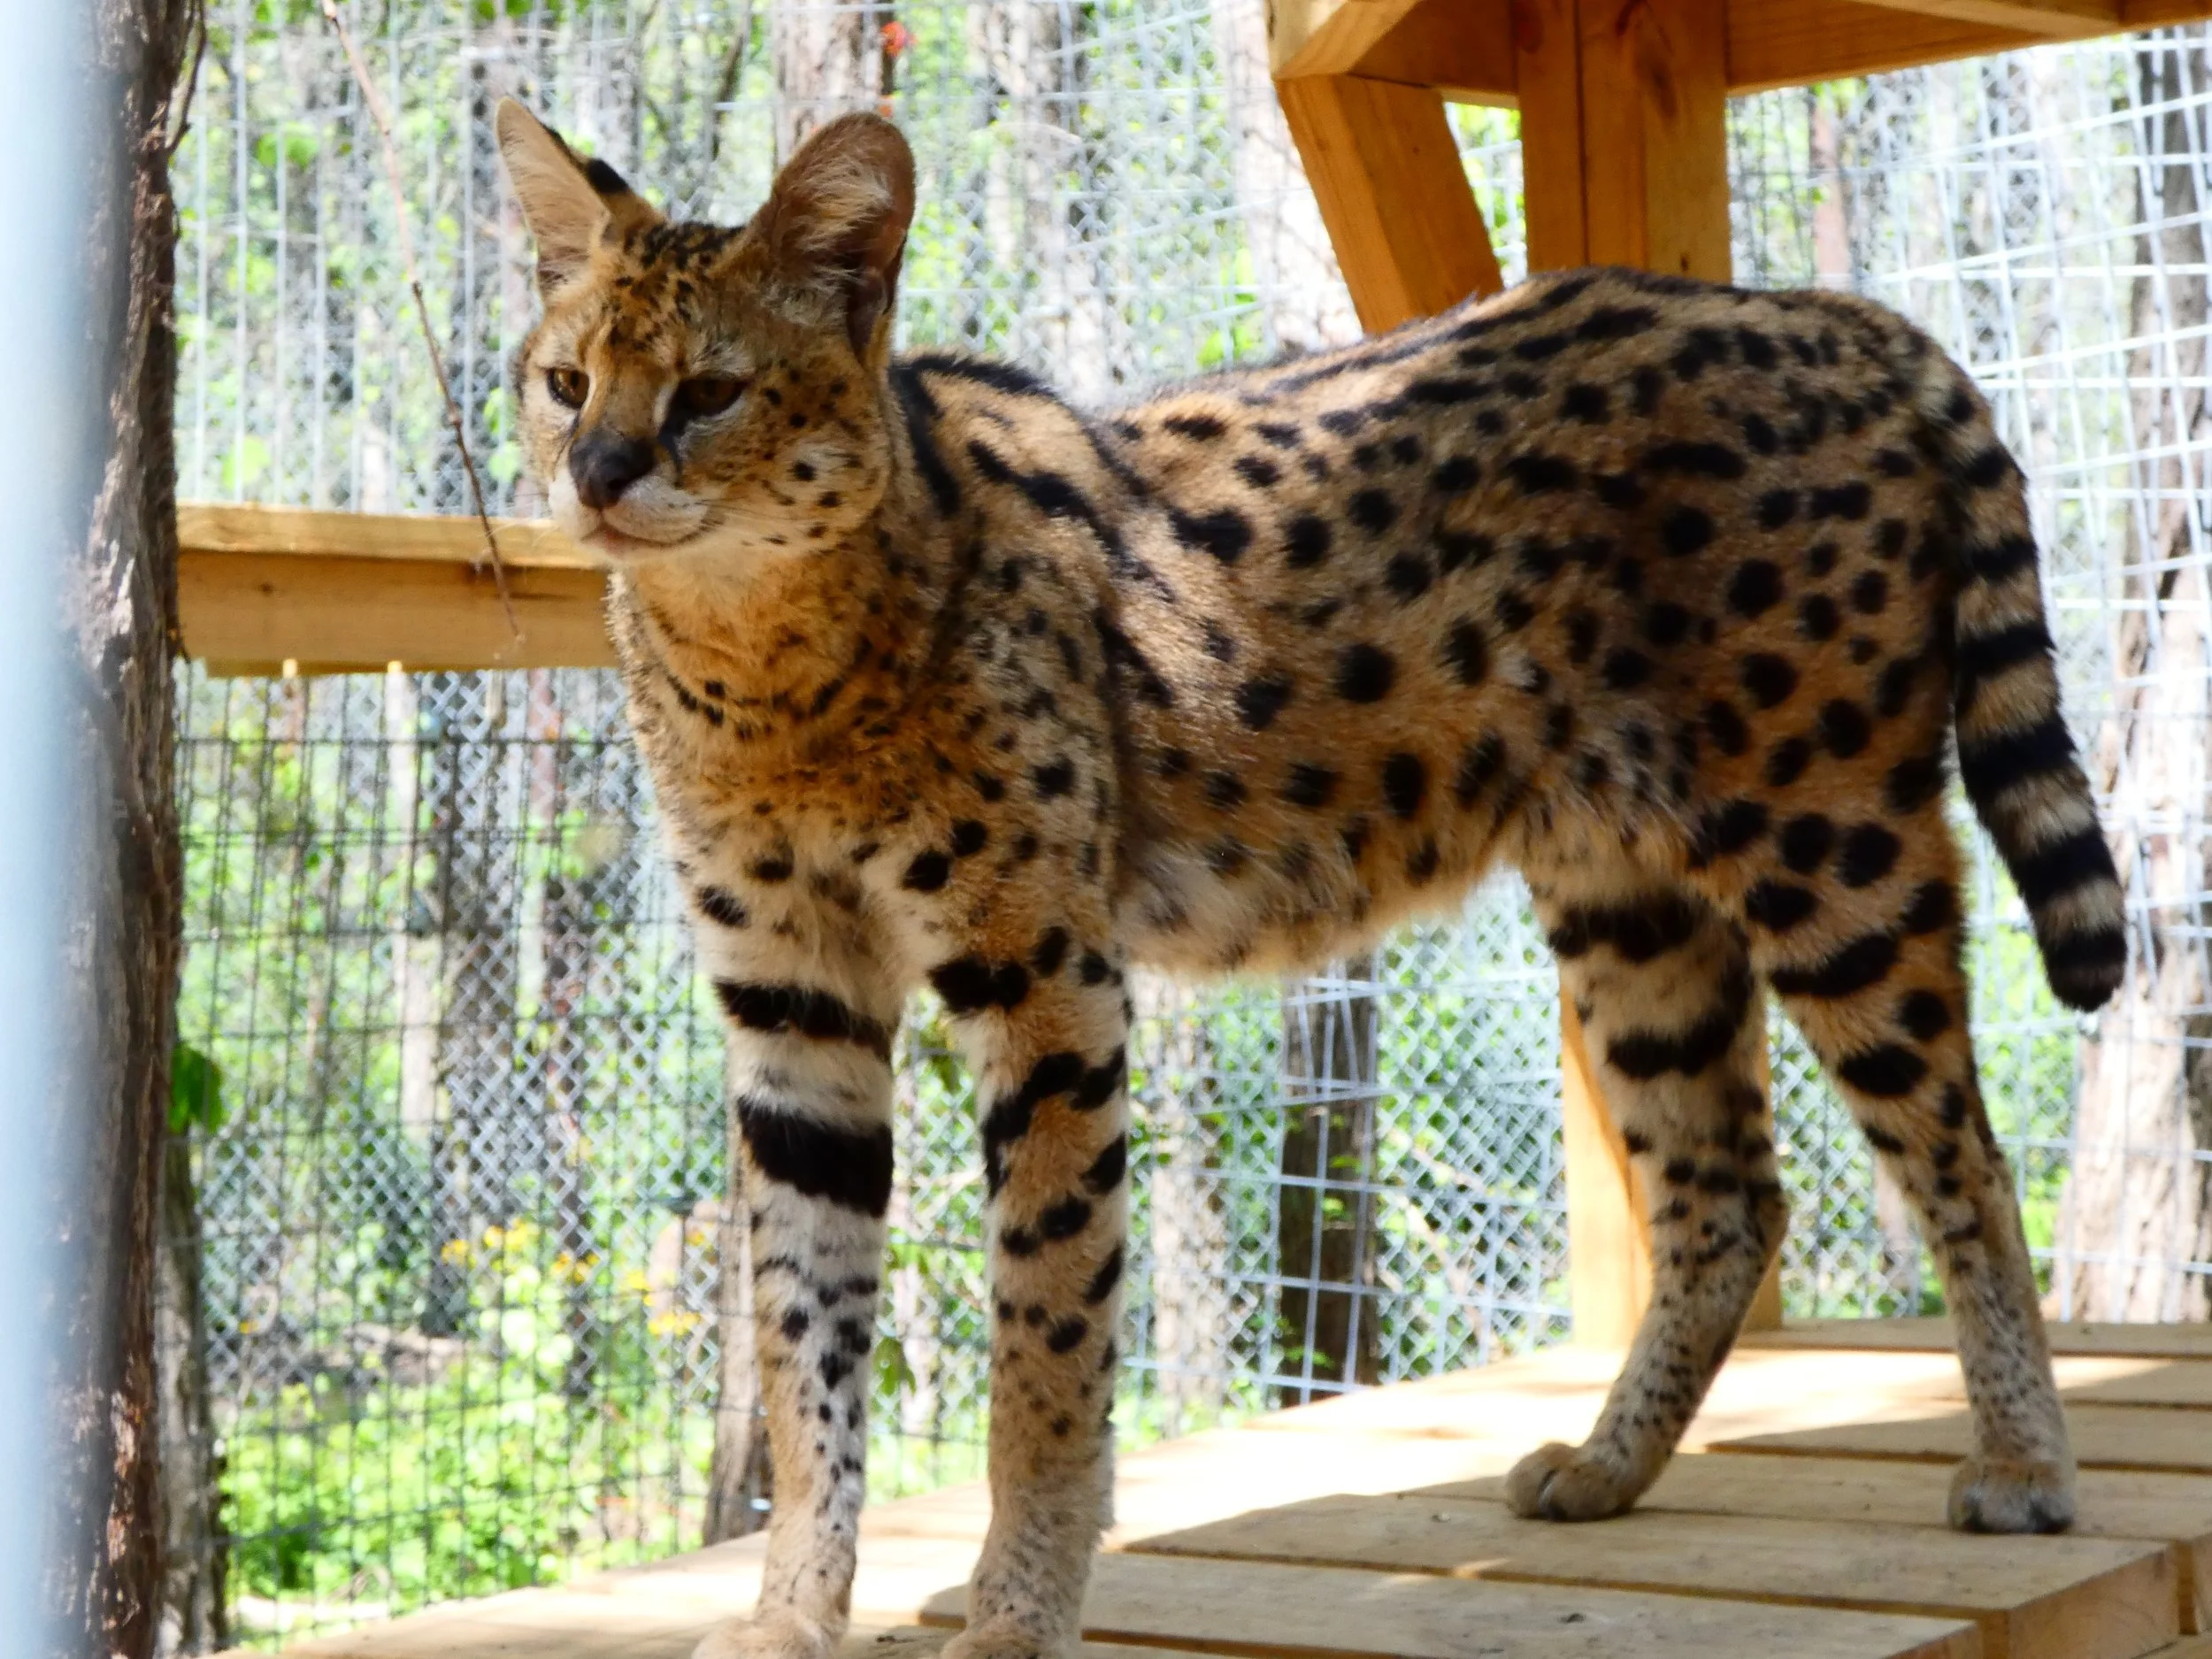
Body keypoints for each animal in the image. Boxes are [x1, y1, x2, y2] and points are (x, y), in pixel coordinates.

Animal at [494, 98, 2128, 1659]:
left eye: (711, 391)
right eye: (564, 382)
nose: (595, 477)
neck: (761, 670)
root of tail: (1835, 310)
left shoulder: (1044, 982)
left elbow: (1045, 1339)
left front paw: (1019, 1612)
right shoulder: (796, 1011)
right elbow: (802, 1342)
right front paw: (795, 1611)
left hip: (1830, 845)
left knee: (1967, 1152)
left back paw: (2028, 1463)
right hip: (1627, 895)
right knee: (1731, 1190)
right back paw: (1609, 1466)